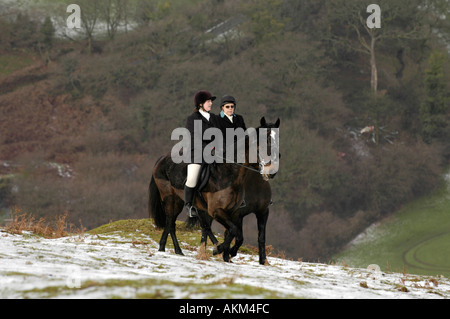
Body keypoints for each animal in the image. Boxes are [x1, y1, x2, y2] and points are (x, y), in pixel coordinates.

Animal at [149, 117, 280, 262]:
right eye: (264, 142)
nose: (272, 170)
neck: (229, 174)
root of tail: (163, 158)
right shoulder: (216, 210)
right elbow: (234, 231)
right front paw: (220, 250)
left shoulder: (234, 212)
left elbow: (235, 233)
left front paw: (225, 251)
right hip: (171, 199)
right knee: (171, 223)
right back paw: (173, 249)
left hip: (191, 204)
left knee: (190, 225)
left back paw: (170, 249)